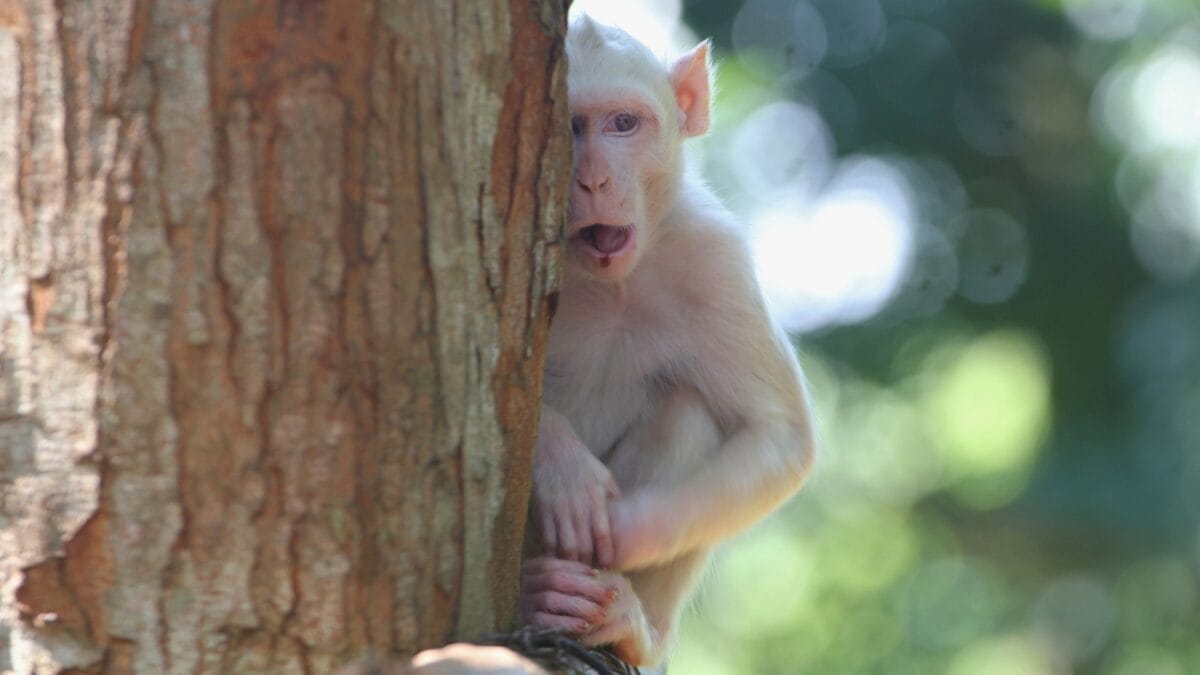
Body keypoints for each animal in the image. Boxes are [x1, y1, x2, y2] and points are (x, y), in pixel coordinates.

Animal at [519, 16, 817, 668]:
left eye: (623, 124)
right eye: (569, 126)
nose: (594, 179)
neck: (613, 285)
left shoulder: (715, 257)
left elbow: (778, 437)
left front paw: (628, 531)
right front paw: (561, 462)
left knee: (688, 411)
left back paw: (628, 626)